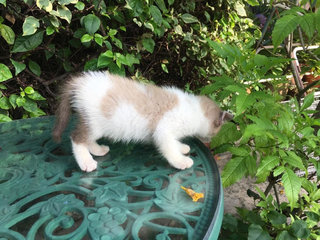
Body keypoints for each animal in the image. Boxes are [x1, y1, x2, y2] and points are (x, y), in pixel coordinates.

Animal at [52, 71, 232, 172]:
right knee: (77, 138)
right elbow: (169, 147)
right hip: (95, 122)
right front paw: (180, 161)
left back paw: (98, 150)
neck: (193, 109)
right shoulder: (163, 130)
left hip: (93, 123)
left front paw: (182, 147)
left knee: (87, 139)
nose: (212, 140)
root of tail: (79, 82)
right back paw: (86, 162)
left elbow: (174, 143)